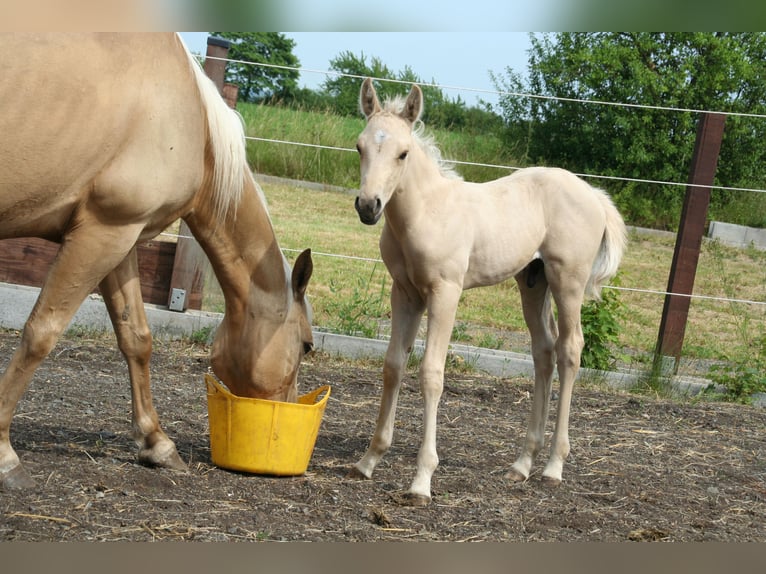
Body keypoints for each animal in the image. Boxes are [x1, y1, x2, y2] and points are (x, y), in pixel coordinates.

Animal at [0, 33, 314, 491]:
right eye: (306, 345)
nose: (286, 412)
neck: (193, 123)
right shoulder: (101, 234)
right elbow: (42, 333)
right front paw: (4, 453)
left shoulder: (120, 236)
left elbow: (137, 339)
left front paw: (157, 444)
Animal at [349, 78, 627, 505]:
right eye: (360, 146)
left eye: (402, 153)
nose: (368, 206)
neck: (426, 211)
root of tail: (593, 194)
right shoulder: (405, 292)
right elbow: (393, 365)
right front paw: (369, 460)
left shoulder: (445, 292)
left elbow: (431, 372)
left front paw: (421, 481)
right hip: (533, 282)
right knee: (544, 351)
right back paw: (522, 464)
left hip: (568, 281)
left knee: (570, 349)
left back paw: (553, 466)